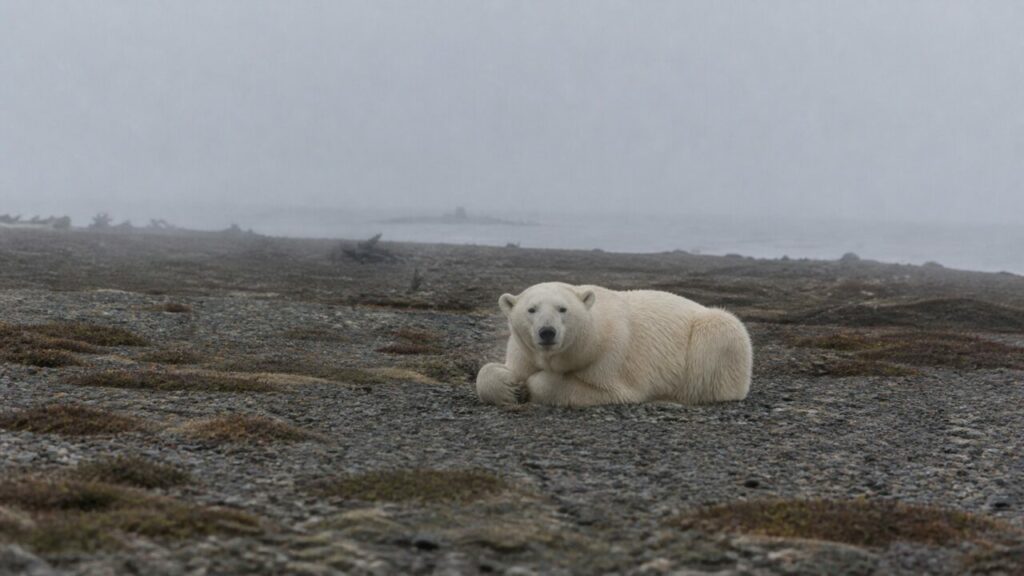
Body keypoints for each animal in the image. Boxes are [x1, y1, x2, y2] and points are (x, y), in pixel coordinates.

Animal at [476, 282, 752, 407]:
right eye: (531, 309)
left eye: (562, 309)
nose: (547, 332)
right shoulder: (523, 352)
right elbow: (495, 371)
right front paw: (510, 386)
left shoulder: (611, 356)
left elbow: (602, 390)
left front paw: (531, 386)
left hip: (714, 337)